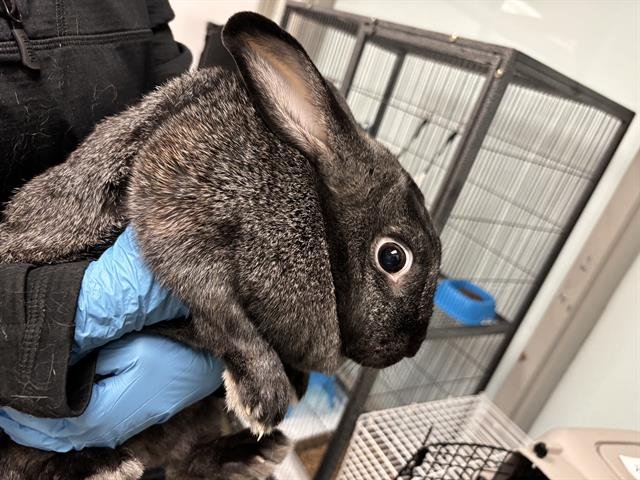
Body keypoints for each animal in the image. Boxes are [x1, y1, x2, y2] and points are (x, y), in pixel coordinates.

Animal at [0, 11, 441, 480]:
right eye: (392, 257)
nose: (410, 346)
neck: (321, 219)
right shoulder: (178, 212)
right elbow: (224, 315)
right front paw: (266, 397)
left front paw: (292, 386)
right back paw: (108, 465)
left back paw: (251, 453)